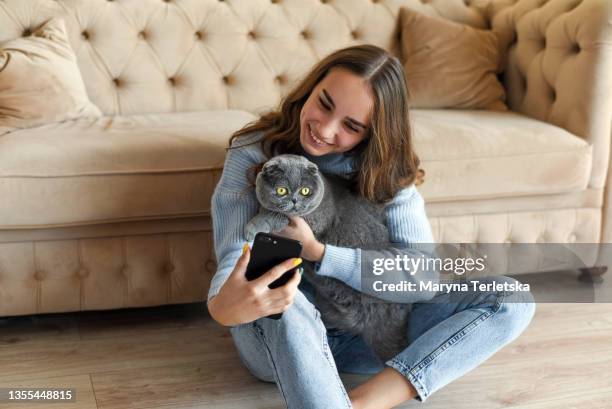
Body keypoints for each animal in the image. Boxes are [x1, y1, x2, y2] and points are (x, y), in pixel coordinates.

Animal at [244, 154, 412, 360]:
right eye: (281, 190)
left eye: (305, 191)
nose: (295, 201)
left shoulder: (312, 220)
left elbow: (275, 214)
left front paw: (252, 227)